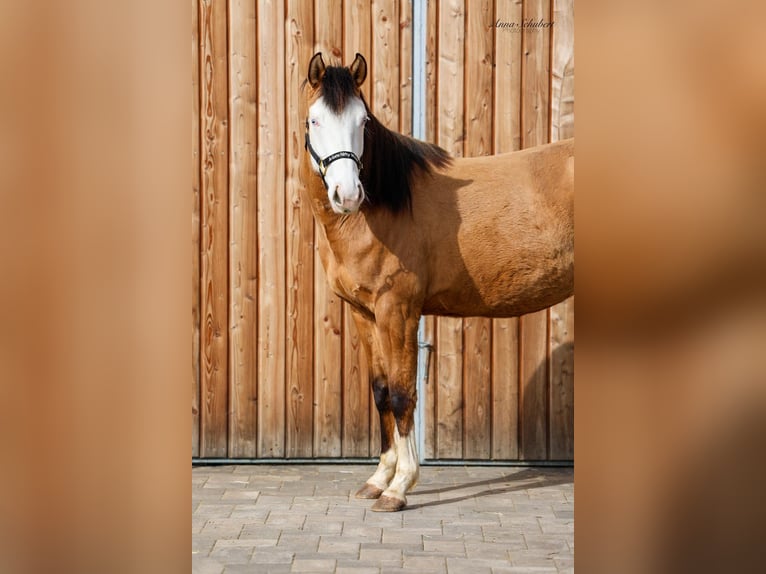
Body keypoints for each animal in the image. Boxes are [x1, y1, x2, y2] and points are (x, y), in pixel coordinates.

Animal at [301, 52, 574, 511]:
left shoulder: (398, 311)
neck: (384, 207)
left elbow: (402, 392)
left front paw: (399, 487)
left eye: (363, 120)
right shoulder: (363, 313)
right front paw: (377, 479)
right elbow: (380, 392)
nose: (347, 193)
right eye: (314, 120)